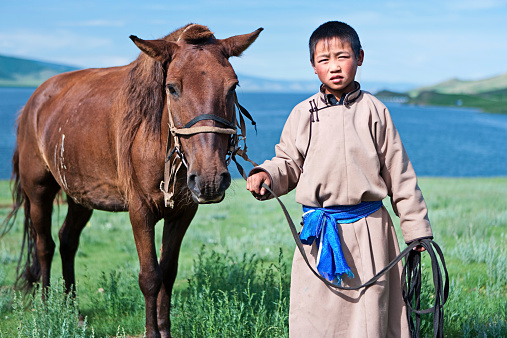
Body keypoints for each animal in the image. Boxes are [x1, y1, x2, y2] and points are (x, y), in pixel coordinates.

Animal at [3, 24, 264, 338]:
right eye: (172, 88)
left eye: (233, 86)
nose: (211, 178)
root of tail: (34, 101)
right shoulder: (140, 212)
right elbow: (150, 276)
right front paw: (152, 333)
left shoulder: (183, 212)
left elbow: (168, 272)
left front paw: (165, 330)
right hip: (39, 192)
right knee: (45, 245)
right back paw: (46, 310)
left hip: (81, 196)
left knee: (67, 241)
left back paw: (72, 311)